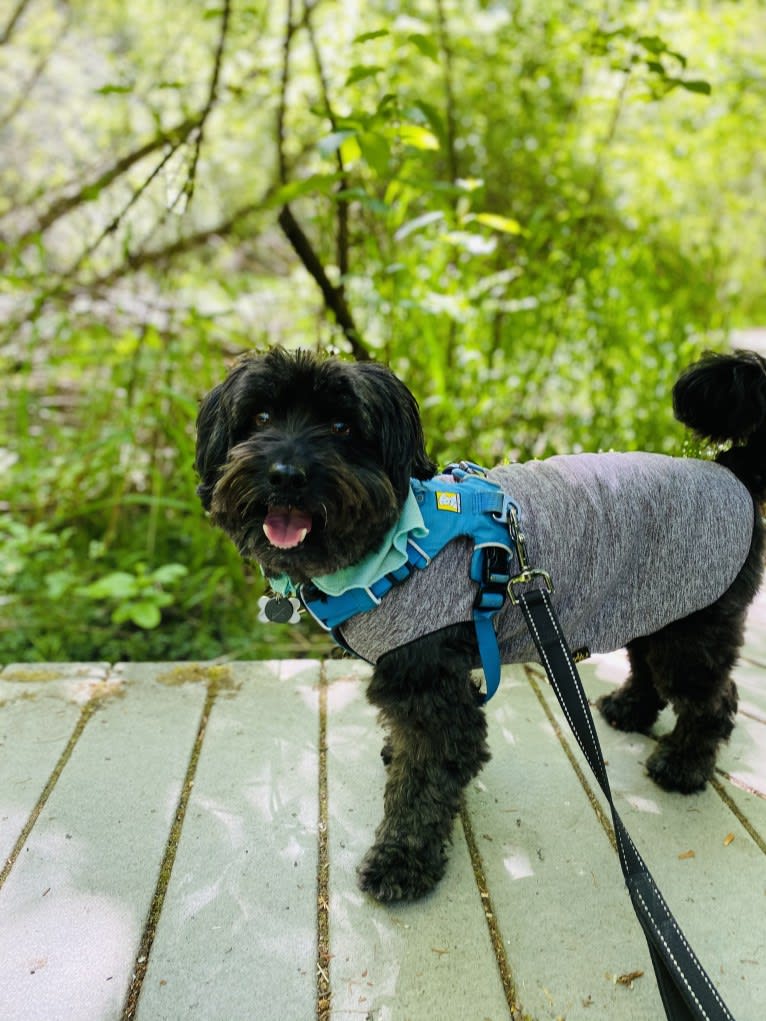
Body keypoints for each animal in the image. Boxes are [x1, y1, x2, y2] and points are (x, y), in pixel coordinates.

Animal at [198, 349, 766, 902]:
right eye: (260, 417)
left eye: (342, 426)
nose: (285, 473)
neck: (392, 548)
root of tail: (731, 474)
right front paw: (393, 753)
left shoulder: (430, 688)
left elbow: (424, 781)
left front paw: (402, 862)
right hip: (656, 609)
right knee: (650, 666)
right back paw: (630, 710)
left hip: (693, 628)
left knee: (714, 698)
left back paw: (684, 766)